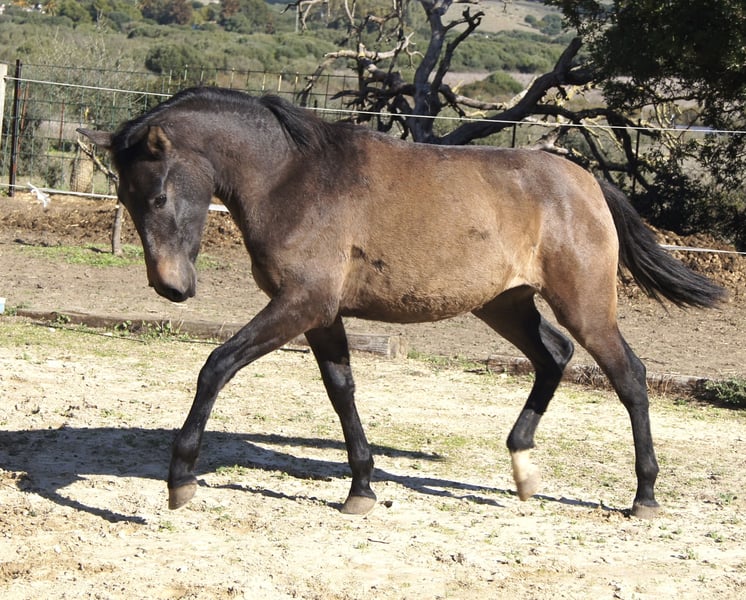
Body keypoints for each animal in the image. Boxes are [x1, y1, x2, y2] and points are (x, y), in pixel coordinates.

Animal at [78, 86, 724, 519]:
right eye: (124, 197)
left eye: (159, 196)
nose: (171, 288)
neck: (294, 179)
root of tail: (586, 181)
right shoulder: (322, 314)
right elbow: (341, 391)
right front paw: (361, 490)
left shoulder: (300, 304)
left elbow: (216, 366)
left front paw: (180, 478)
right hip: (505, 304)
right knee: (554, 357)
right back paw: (523, 470)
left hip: (584, 304)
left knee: (630, 375)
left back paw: (644, 496)